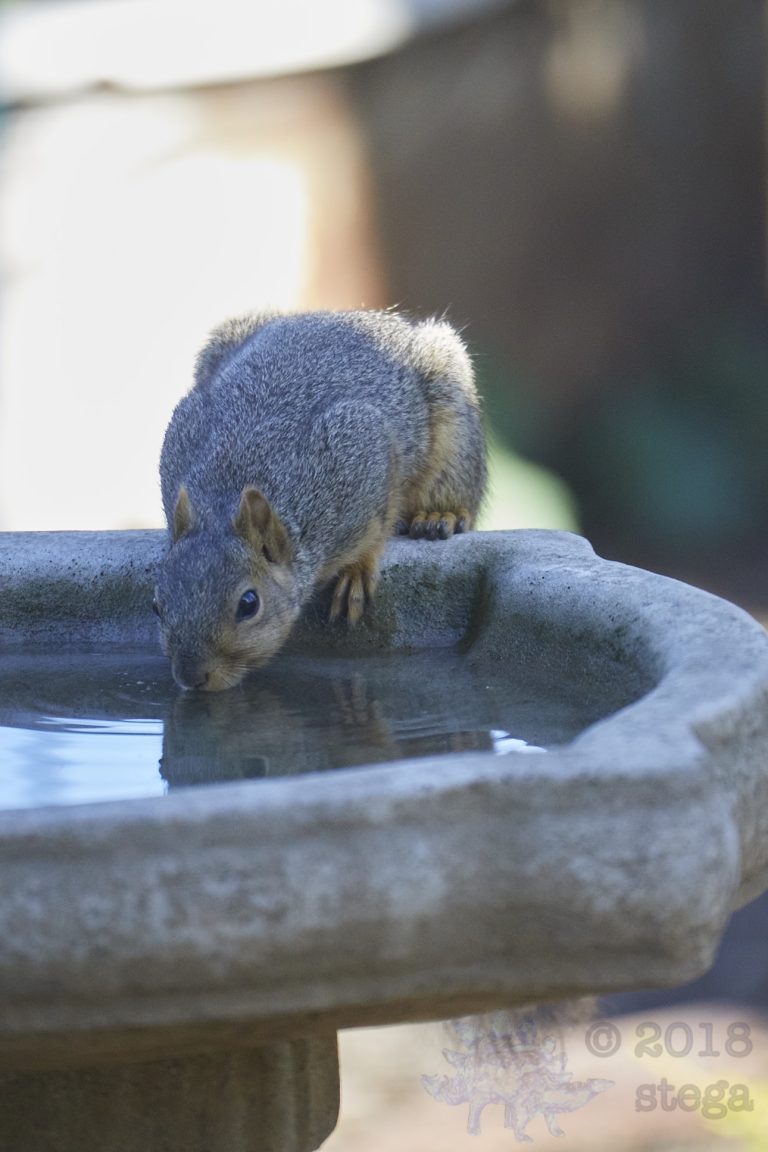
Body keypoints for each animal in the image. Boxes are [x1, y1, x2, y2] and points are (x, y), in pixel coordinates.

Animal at [154, 309, 487, 691]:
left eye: (249, 604)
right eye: (156, 606)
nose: (191, 676)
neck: (228, 493)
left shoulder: (360, 451)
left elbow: (376, 528)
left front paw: (356, 573)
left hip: (454, 425)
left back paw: (440, 515)